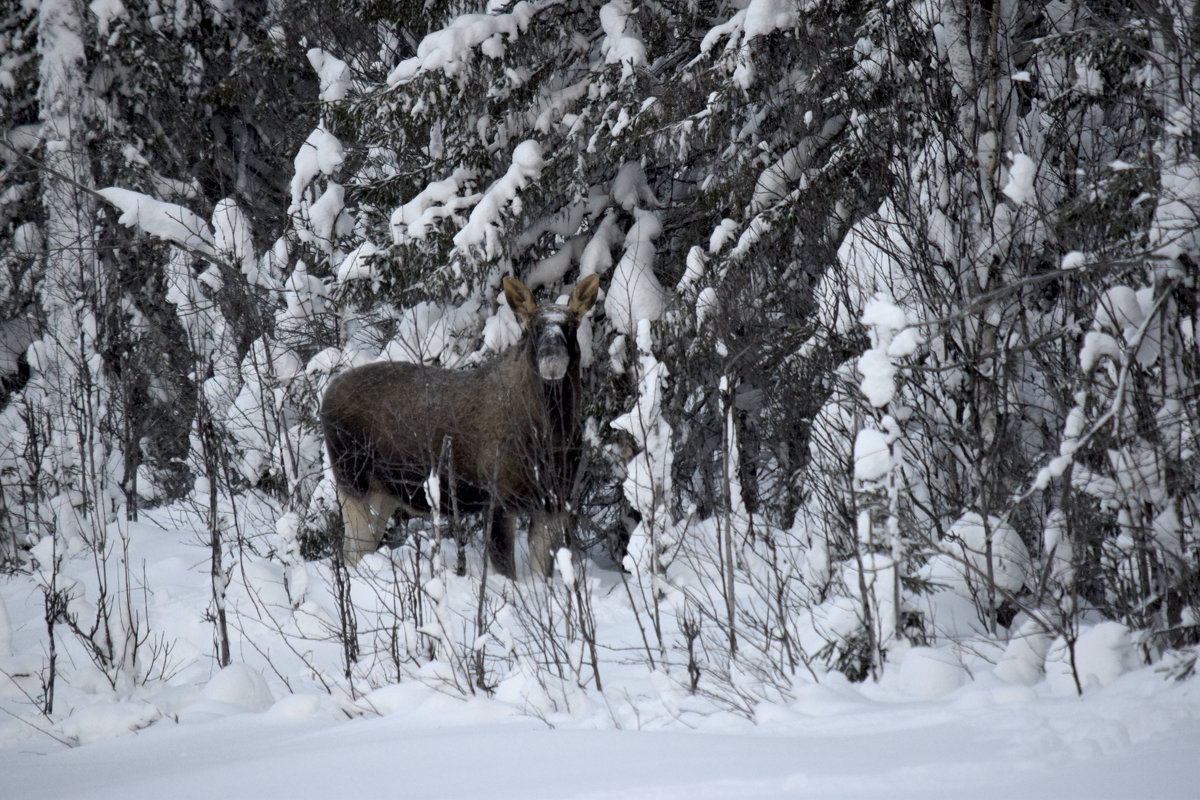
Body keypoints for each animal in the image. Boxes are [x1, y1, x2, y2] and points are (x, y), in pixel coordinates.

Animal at [319, 273, 600, 575]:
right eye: (534, 327)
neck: (550, 435)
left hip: (383, 494)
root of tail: (325, 399)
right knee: (351, 555)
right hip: (354, 484)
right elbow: (506, 573)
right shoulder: (499, 499)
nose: (552, 360)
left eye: (571, 325)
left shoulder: (555, 502)